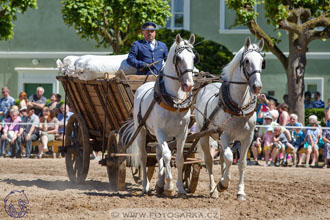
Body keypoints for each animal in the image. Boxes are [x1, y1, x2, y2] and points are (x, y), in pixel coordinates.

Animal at [127, 34, 197, 196]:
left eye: (193, 57)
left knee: (158, 152)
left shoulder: (182, 132)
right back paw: (146, 186)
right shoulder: (160, 131)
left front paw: (180, 188)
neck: (174, 101)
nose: (189, 85)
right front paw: (169, 186)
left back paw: (159, 183)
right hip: (142, 131)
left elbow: (179, 158)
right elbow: (167, 155)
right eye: (178, 58)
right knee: (144, 157)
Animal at [195, 37, 264, 199]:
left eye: (262, 61)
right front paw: (223, 184)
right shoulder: (225, 134)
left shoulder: (247, 137)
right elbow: (228, 157)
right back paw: (213, 189)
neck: (239, 107)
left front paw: (240, 192)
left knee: (221, 159)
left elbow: (241, 163)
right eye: (246, 60)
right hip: (204, 135)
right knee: (209, 161)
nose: (257, 86)